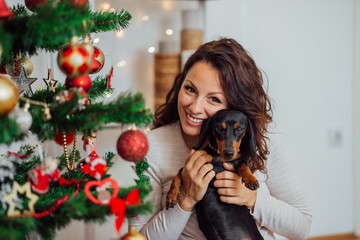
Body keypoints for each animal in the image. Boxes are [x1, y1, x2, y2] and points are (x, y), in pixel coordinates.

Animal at [167, 109, 262, 240]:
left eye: (240, 129)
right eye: (219, 128)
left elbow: (243, 165)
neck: (220, 159)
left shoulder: (238, 162)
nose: (228, 153)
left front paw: (250, 178)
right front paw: (171, 195)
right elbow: (177, 175)